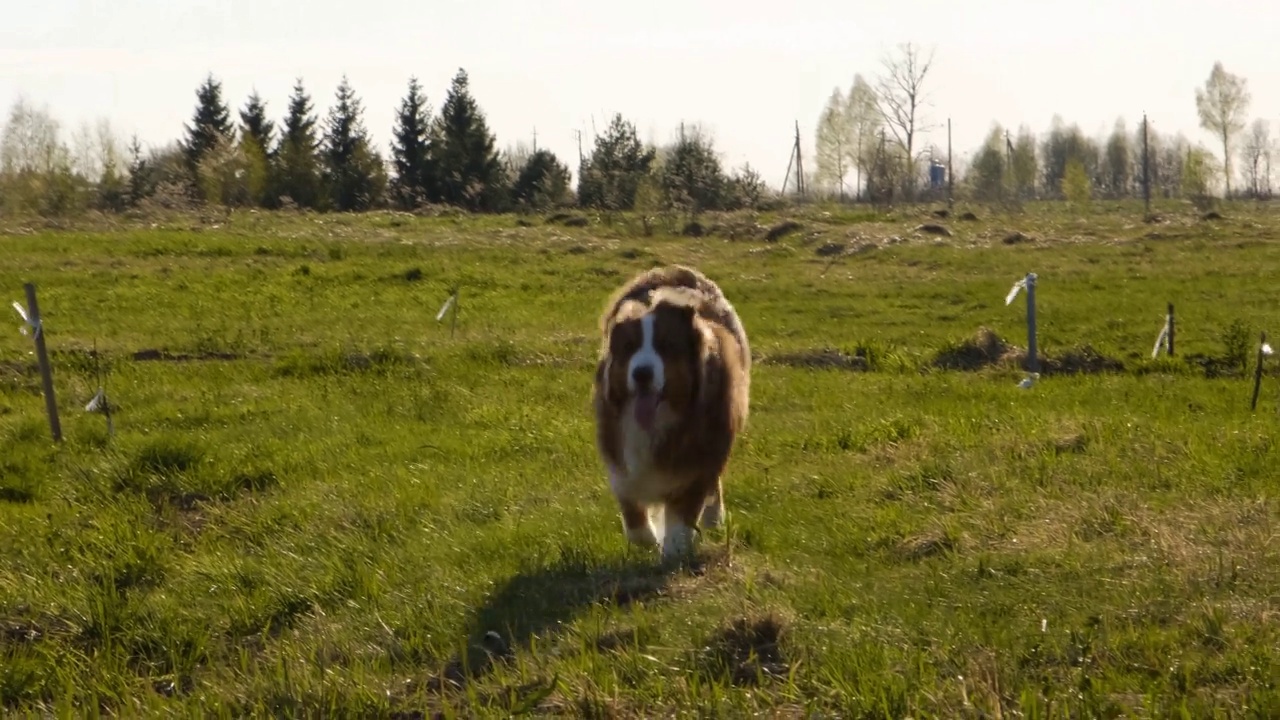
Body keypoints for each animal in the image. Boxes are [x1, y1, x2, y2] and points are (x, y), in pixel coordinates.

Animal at [588, 263, 747, 561]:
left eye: (665, 346)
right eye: (630, 347)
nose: (642, 374)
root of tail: (674, 270)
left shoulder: (698, 461)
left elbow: (682, 516)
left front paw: (674, 550)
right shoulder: (619, 454)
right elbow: (632, 510)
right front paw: (649, 539)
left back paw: (713, 517)